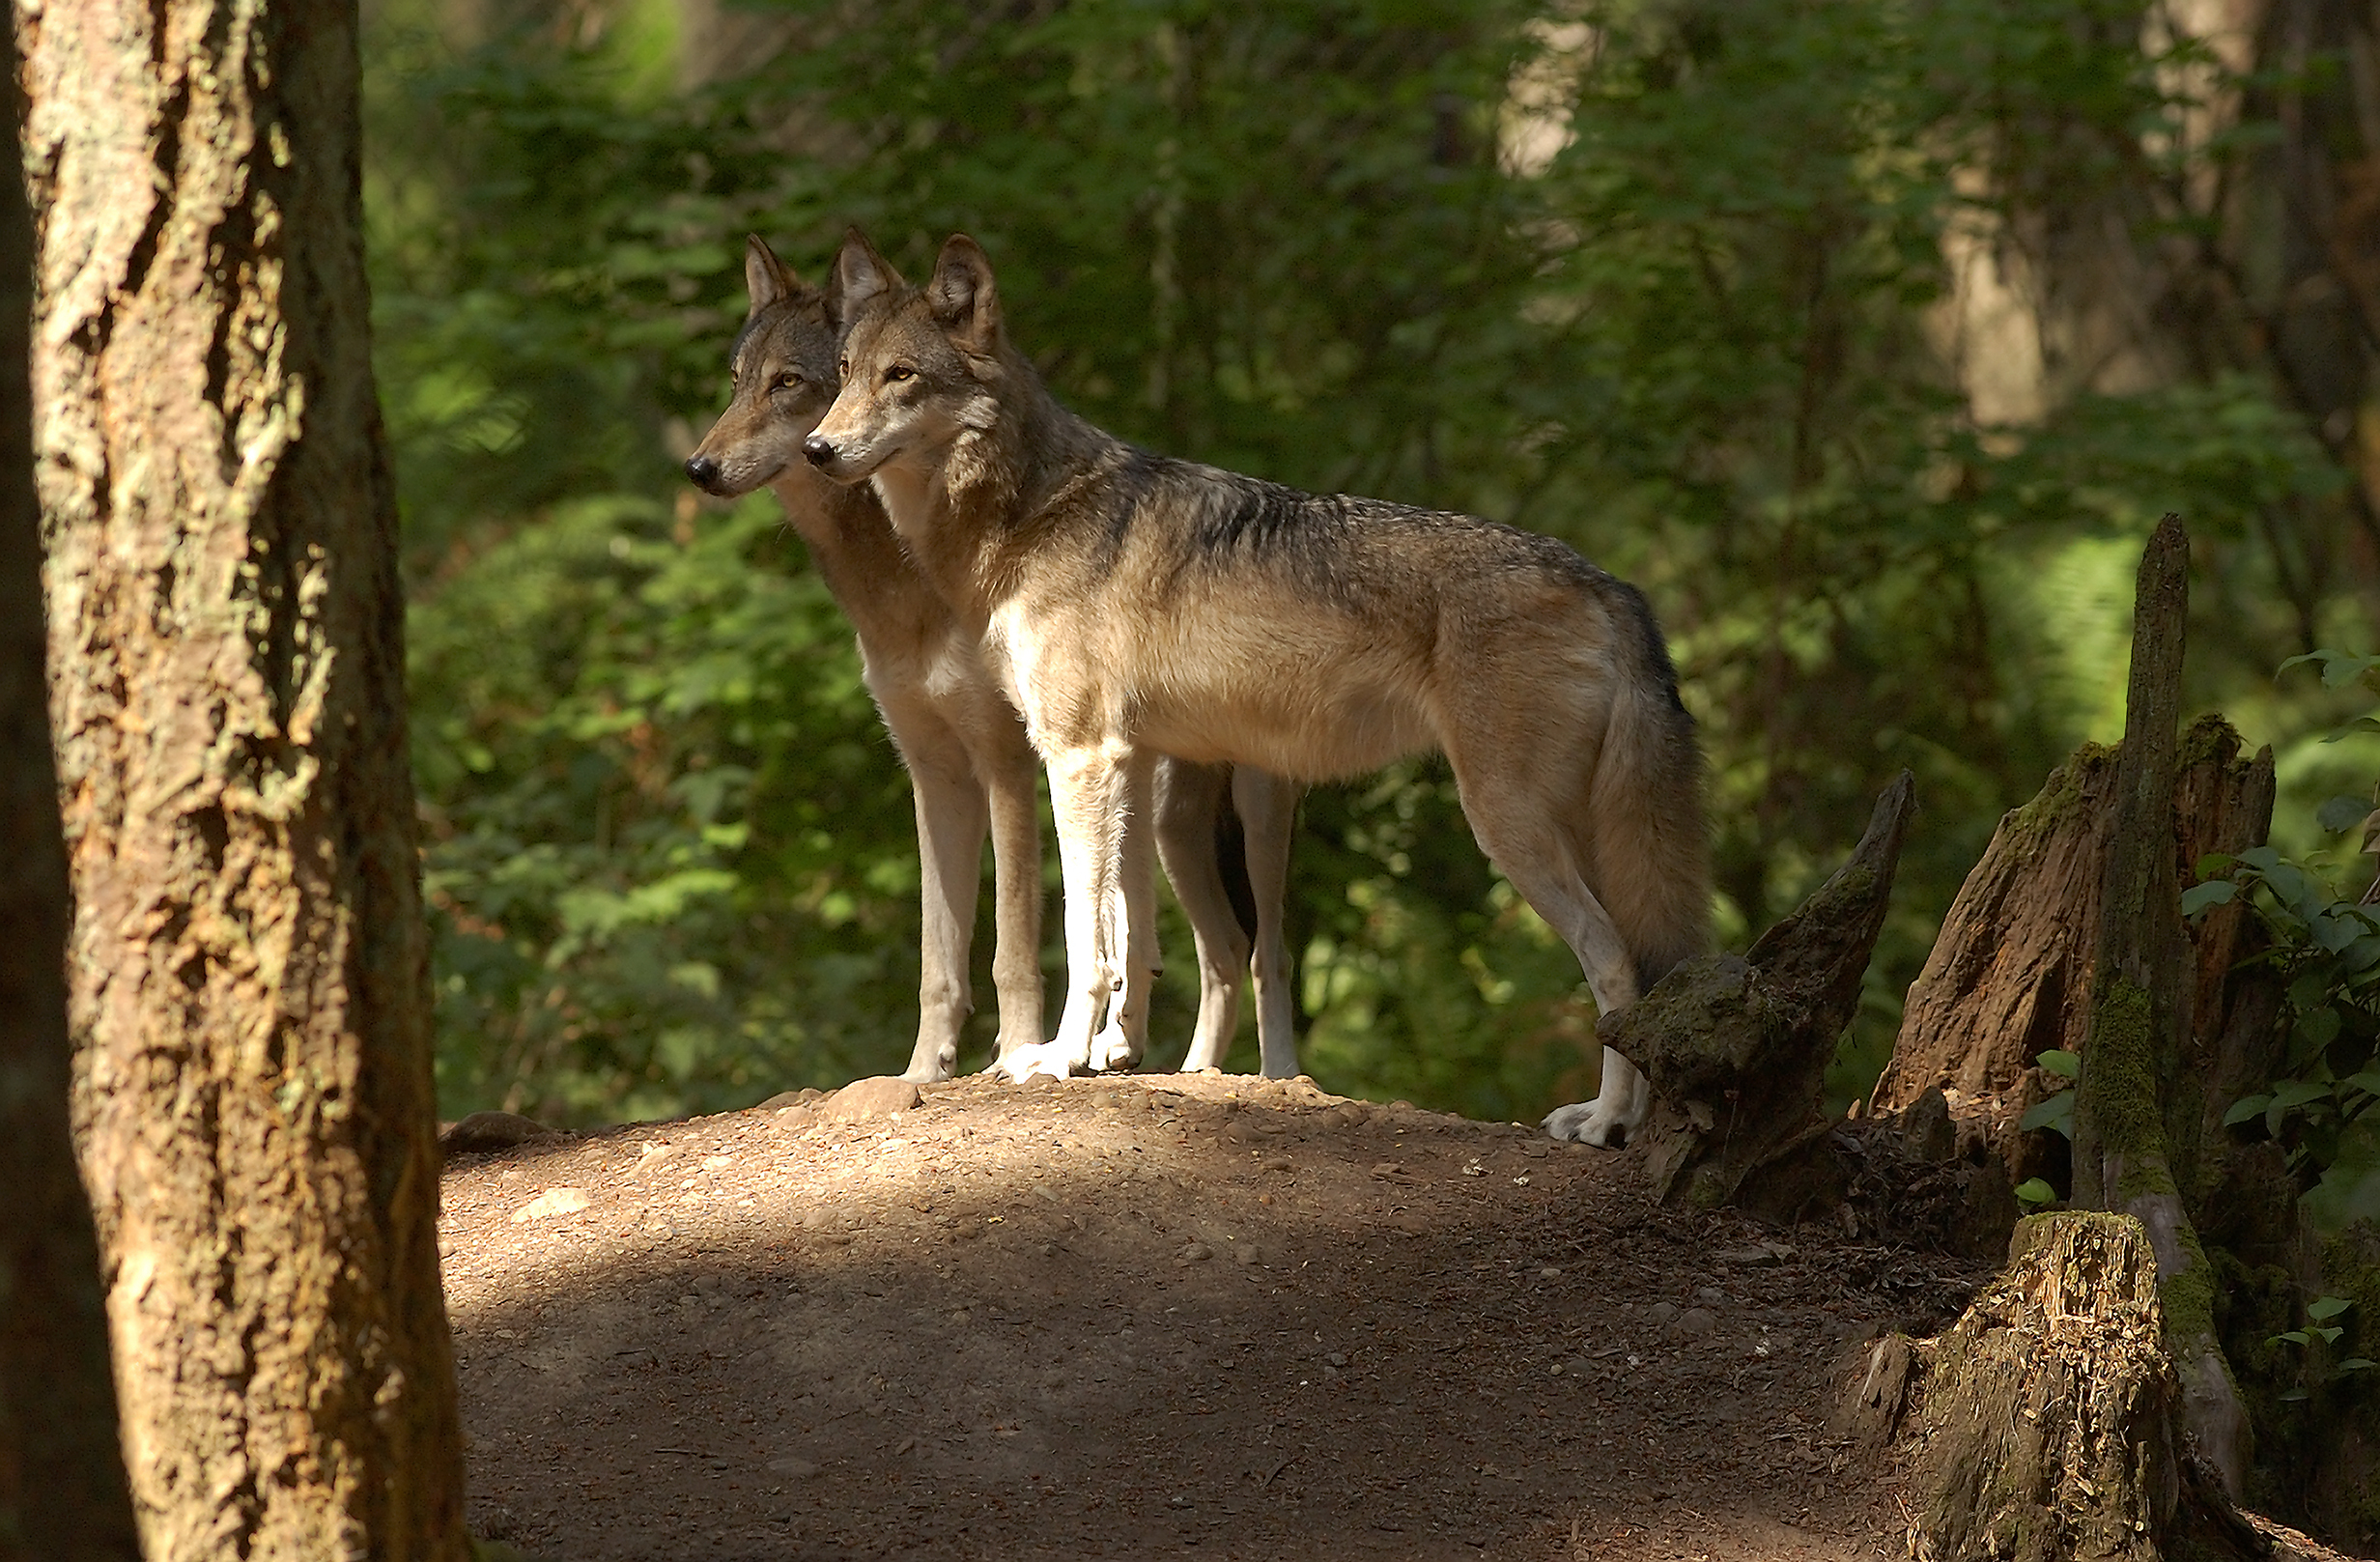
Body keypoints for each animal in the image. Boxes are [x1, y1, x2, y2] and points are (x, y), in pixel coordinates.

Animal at [684, 237, 1300, 1081]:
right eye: (736, 380)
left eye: (789, 383)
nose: (698, 468)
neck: (905, 585)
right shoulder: (934, 772)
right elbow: (938, 959)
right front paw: (922, 1073)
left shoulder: (1007, 762)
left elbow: (1013, 945)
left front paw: (1014, 1052)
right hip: (1164, 825)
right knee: (1212, 950)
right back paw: (1161, 1062)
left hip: (1250, 819)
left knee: (1267, 955)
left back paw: (1273, 1077)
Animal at [802, 230, 1710, 1145]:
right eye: (842, 371)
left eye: (901, 375)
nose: (816, 449)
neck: (1031, 508)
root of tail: (1614, 586)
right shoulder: (1124, 764)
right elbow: (1126, 934)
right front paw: (1103, 1054)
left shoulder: (1077, 756)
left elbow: (1084, 935)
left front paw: (1055, 1059)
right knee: (1634, 959)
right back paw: (1615, 1118)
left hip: (1502, 825)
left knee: (1614, 959)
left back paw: (1606, 1121)